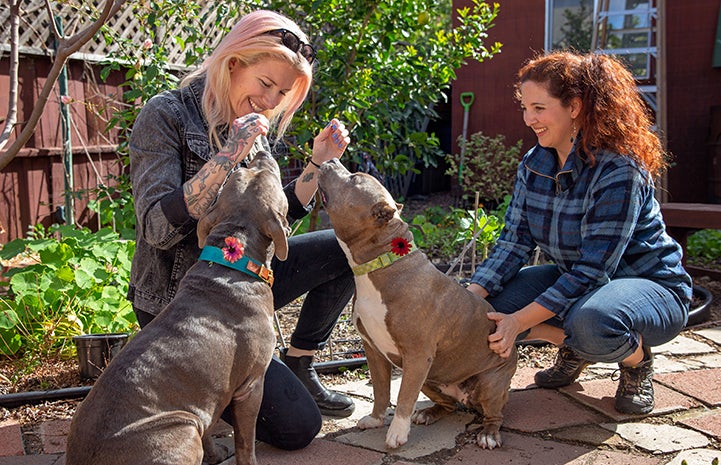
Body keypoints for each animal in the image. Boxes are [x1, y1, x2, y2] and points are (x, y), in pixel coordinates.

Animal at [65, 150, 290, 464]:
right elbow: (246, 442)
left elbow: (211, 428)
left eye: (239, 173)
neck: (233, 260)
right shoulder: (251, 386)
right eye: (264, 173)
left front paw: (216, 454)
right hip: (182, 428)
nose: (260, 152)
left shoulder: (207, 401)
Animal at [318, 159, 516, 450]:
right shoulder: (373, 350)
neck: (381, 264)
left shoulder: (417, 356)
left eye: (354, 178)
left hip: (490, 383)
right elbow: (380, 390)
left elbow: (403, 397)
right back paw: (429, 413)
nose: (330, 160)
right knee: (448, 405)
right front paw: (376, 419)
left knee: (496, 415)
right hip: (431, 380)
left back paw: (488, 435)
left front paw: (396, 433)